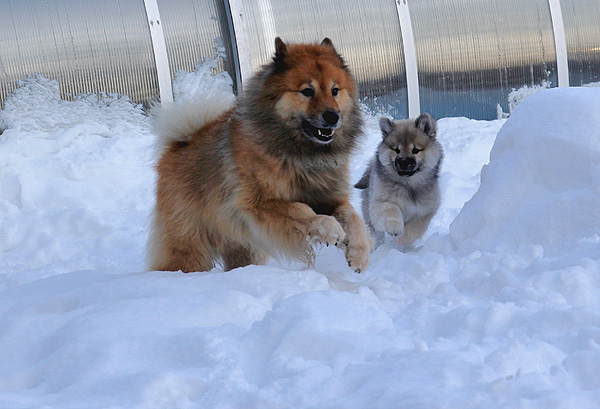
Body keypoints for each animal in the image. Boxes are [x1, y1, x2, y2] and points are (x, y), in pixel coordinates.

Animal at [146, 38, 370, 272]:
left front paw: (359, 254)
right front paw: (330, 228)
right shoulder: (260, 203)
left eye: (335, 90)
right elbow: (302, 210)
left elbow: (353, 218)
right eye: (307, 91)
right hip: (191, 242)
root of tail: (178, 145)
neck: (302, 154)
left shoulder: (330, 198)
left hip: (244, 247)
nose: (333, 116)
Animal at [354, 113, 442, 249]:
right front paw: (394, 227)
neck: (409, 185)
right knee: (376, 233)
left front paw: (400, 242)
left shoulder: (425, 211)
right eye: (396, 150)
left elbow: (414, 230)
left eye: (415, 150)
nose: (403, 162)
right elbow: (391, 209)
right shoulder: (379, 203)